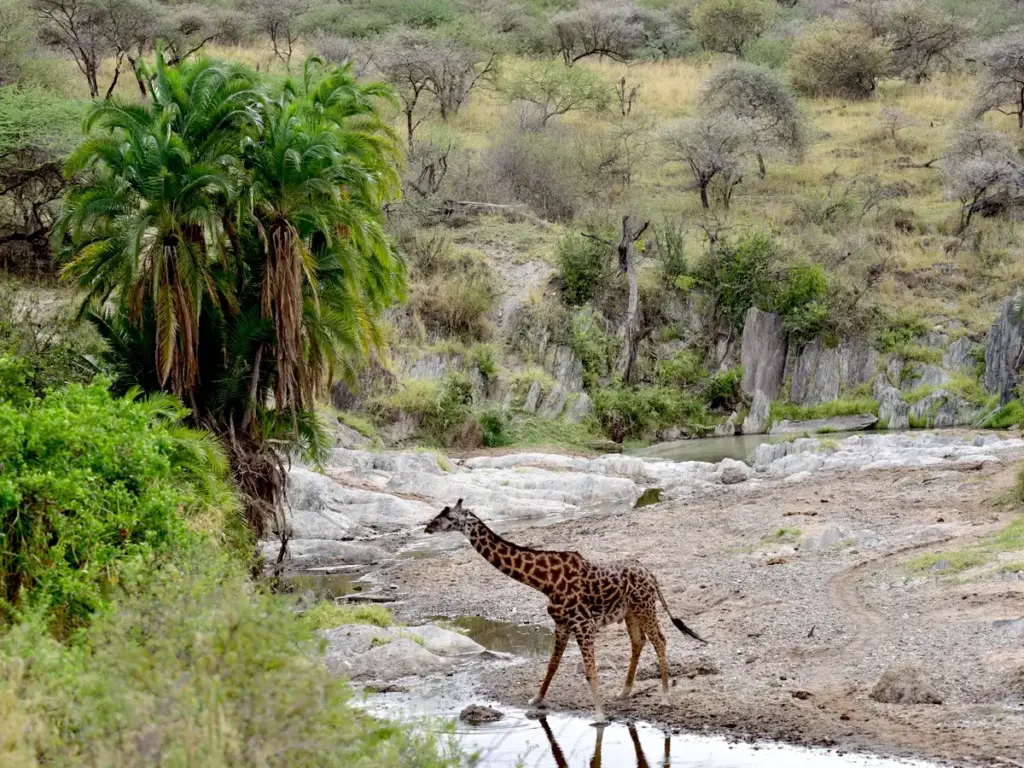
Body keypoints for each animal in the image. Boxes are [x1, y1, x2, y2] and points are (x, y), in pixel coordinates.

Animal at [423, 499, 704, 720]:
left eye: (448, 517)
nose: (427, 527)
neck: (544, 582)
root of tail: (650, 573)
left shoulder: (584, 624)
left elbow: (590, 670)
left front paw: (599, 716)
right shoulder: (561, 623)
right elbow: (553, 664)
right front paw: (536, 699)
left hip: (645, 607)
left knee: (660, 640)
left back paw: (665, 697)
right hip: (630, 612)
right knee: (639, 641)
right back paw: (624, 691)